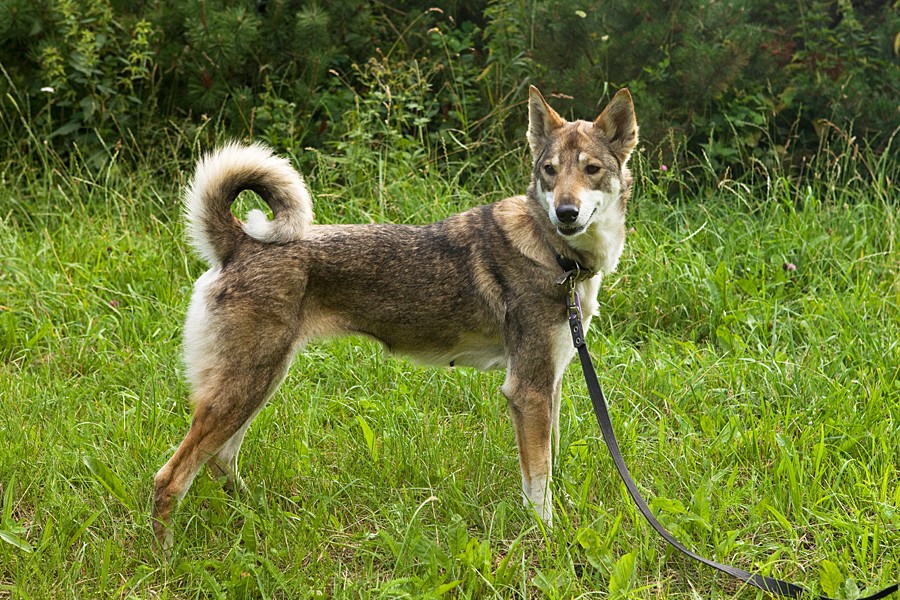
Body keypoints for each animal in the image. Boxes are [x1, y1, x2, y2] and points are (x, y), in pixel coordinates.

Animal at [149, 84, 640, 548]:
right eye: (550, 170)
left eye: (591, 170)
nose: (565, 212)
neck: (555, 254)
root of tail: (238, 244)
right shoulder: (528, 390)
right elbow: (538, 483)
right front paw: (547, 537)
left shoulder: (549, 384)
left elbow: (548, 467)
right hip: (246, 386)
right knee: (170, 477)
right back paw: (165, 556)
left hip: (258, 383)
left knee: (220, 460)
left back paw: (257, 516)